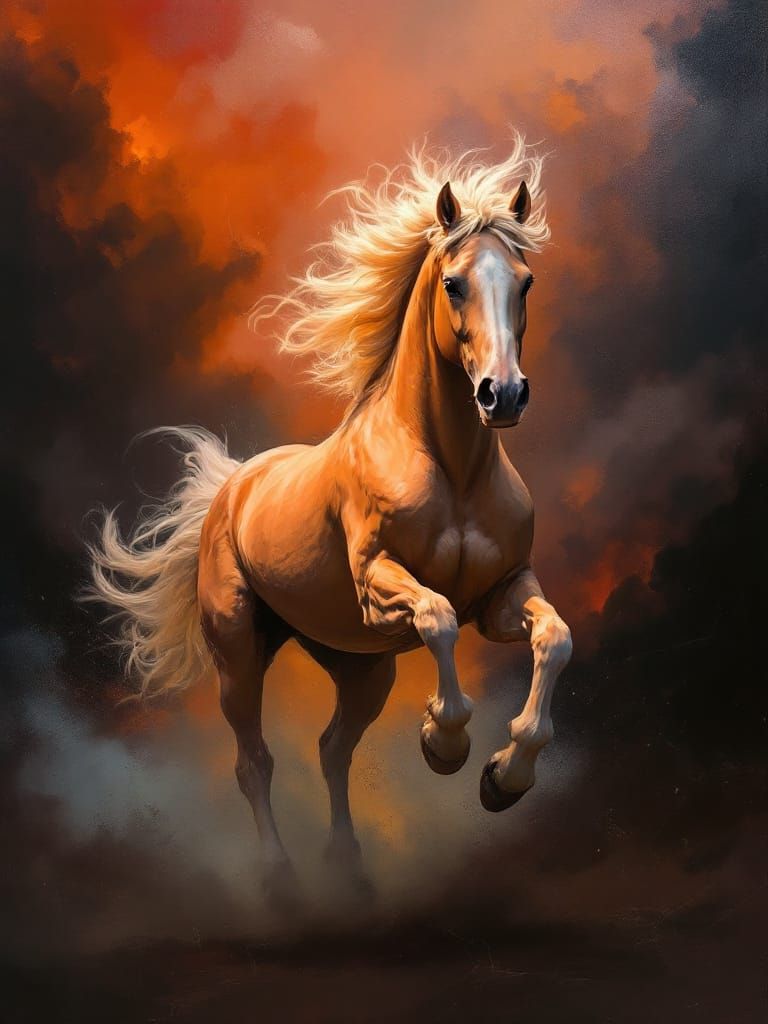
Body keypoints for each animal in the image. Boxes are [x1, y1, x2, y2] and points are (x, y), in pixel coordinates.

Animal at [88, 134, 572, 902]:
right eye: (454, 283)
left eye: (525, 282)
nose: (503, 395)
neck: (453, 468)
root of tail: (232, 486)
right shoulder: (380, 588)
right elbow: (437, 617)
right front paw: (444, 743)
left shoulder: (502, 597)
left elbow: (554, 638)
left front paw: (504, 777)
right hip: (239, 653)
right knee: (254, 761)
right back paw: (280, 881)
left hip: (361, 668)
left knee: (332, 750)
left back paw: (348, 867)